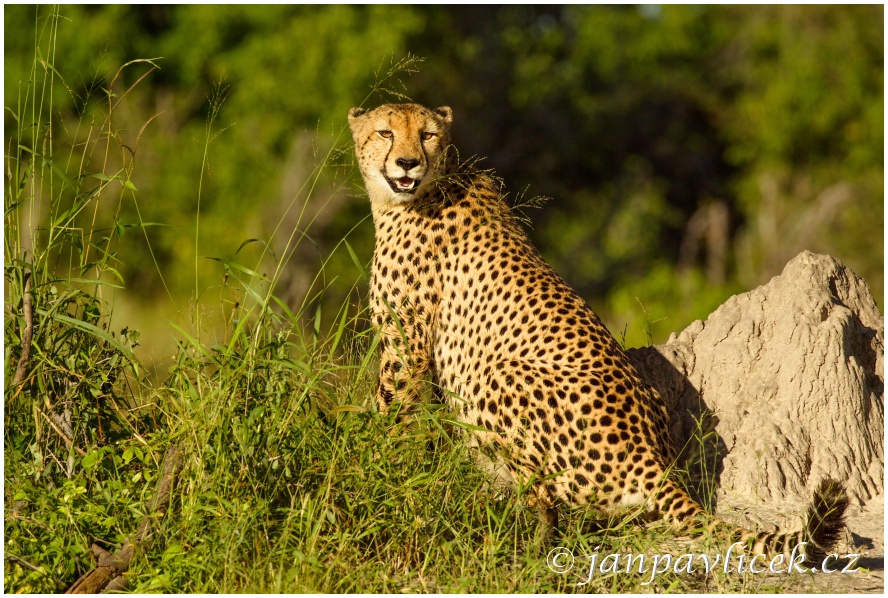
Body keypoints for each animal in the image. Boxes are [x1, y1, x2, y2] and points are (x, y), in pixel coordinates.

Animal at [346, 103, 848, 564]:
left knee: (548, 500)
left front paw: (375, 464)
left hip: (497, 376)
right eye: (386, 132)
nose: (407, 163)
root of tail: (653, 461)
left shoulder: (406, 344)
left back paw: (515, 533)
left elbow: (390, 409)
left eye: (427, 135)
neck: (432, 185)